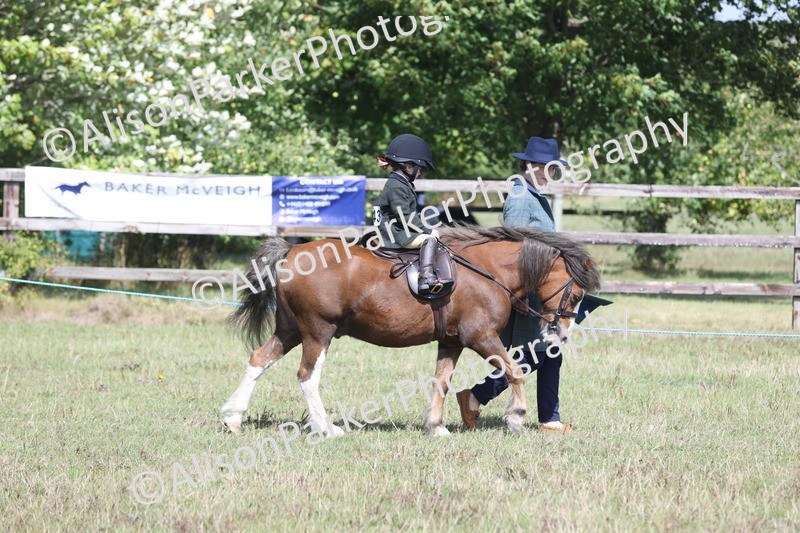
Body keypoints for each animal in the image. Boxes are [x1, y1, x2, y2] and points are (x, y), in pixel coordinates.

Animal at [220, 225, 600, 436]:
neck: (488, 270)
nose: (560, 336)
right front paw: (517, 419)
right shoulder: (481, 337)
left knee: (258, 359)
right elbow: (515, 371)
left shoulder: (452, 341)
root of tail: (292, 250)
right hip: (317, 332)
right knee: (307, 376)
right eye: (576, 295)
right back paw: (326, 428)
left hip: (290, 330)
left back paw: (233, 419)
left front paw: (436, 427)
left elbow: (441, 381)